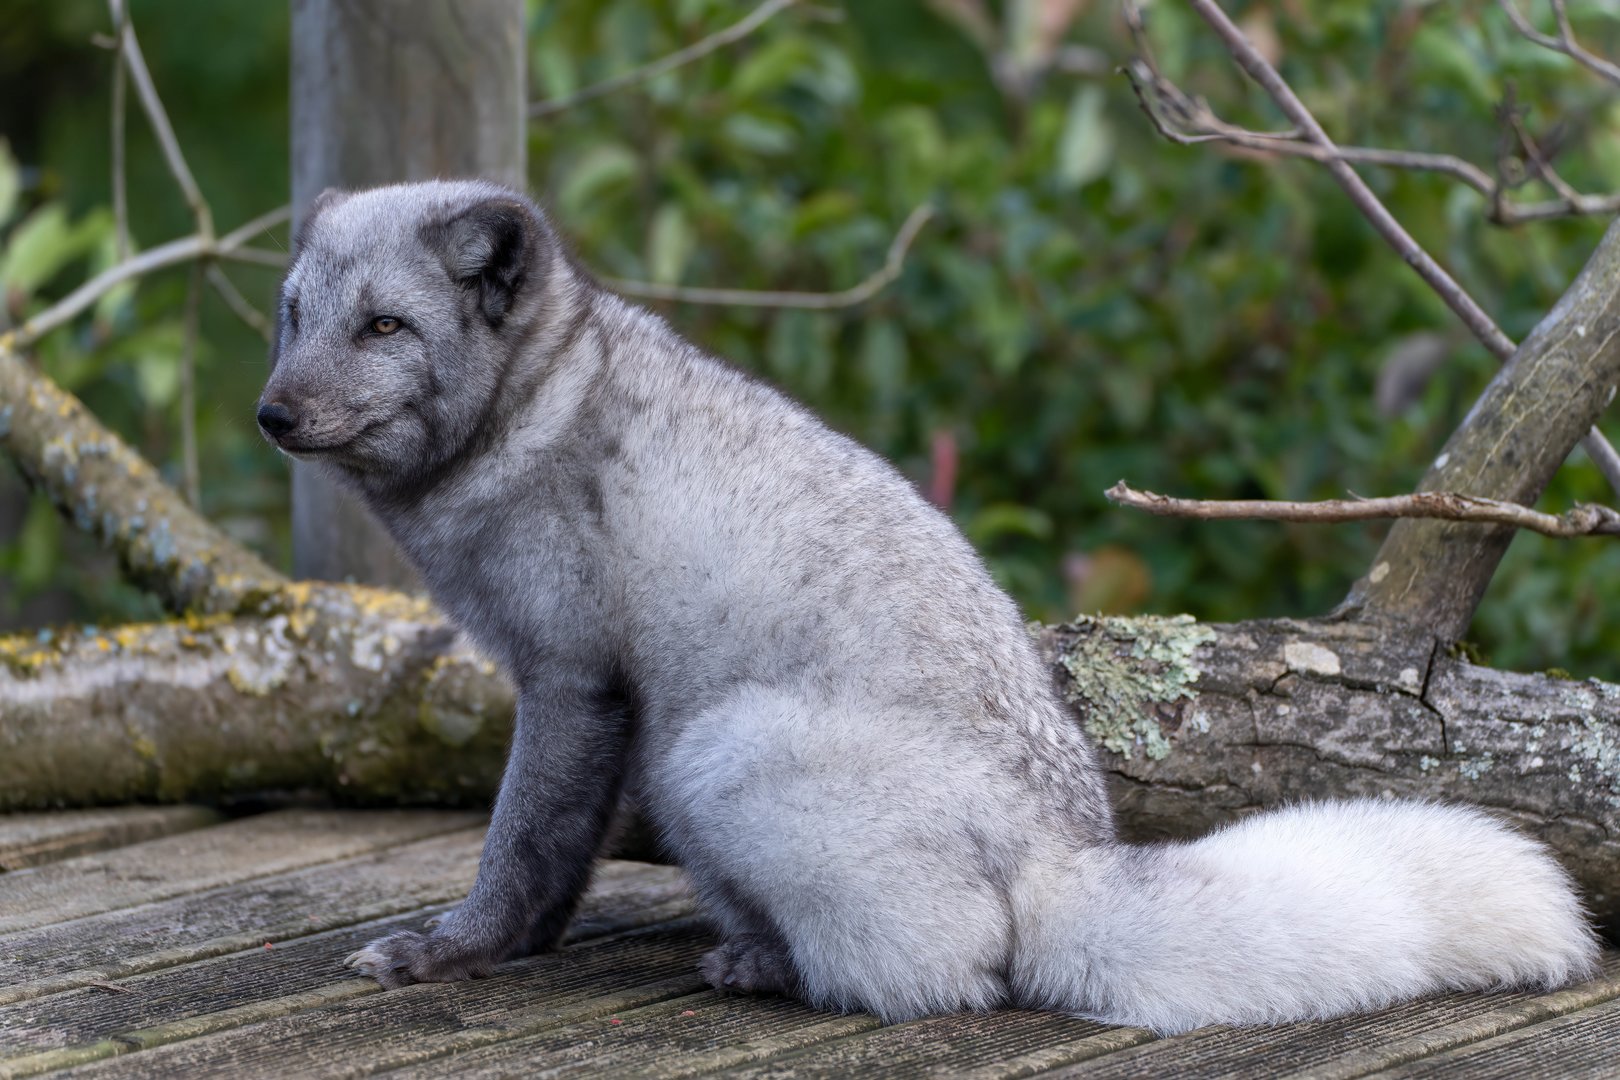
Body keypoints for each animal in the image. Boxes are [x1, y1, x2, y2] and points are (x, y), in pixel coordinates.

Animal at [256, 178, 1598, 1034]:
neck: (539, 401)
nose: (272, 415)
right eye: (293, 315)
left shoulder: (572, 677)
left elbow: (526, 844)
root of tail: (1071, 859)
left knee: (955, 978)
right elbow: (556, 861)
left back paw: (778, 974)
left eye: (385, 326)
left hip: (713, 747)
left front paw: (456, 952)